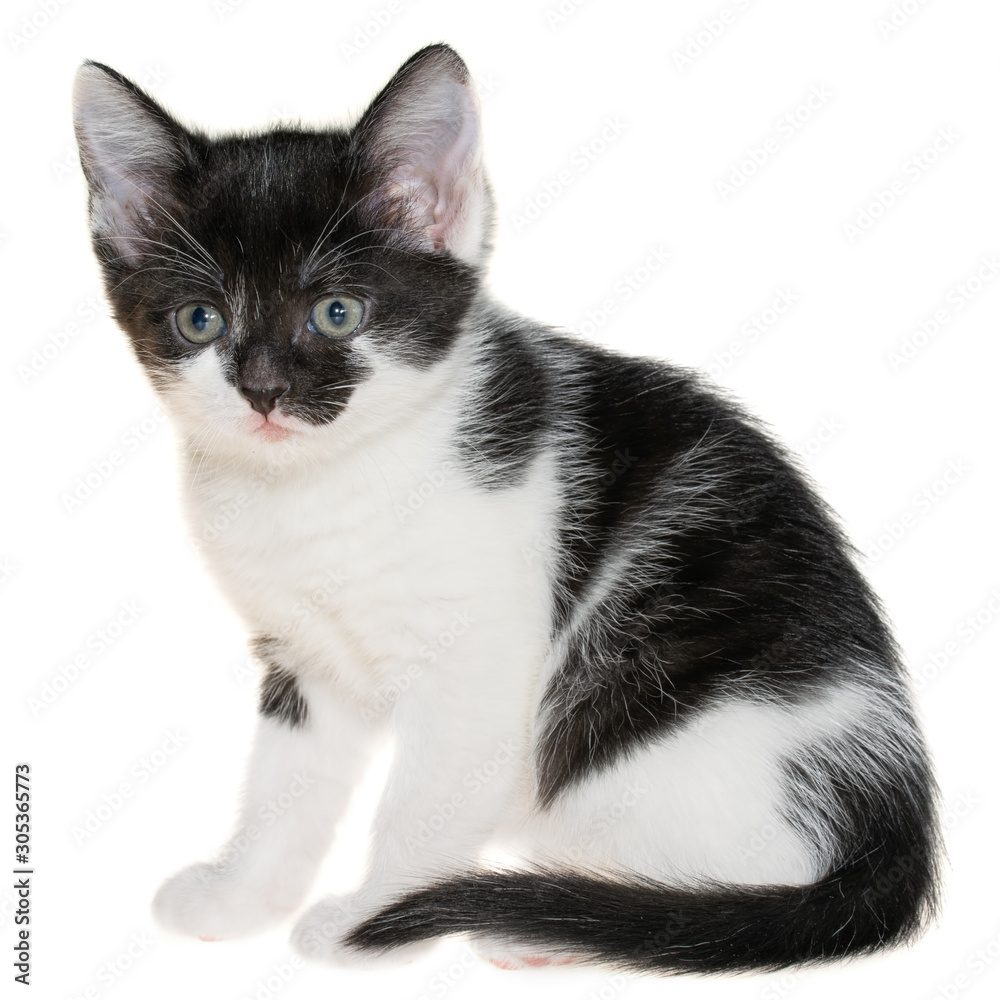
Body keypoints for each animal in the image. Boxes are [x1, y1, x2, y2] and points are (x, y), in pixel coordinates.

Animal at [74, 43, 940, 972]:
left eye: (337, 313)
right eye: (200, 320)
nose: (264, 392)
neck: (325, 487)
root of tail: (897, 818)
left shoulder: (478, 657)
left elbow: (423, 802)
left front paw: (375, 922)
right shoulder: (303, 655)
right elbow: (284, 786)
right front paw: (242, 899)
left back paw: (560, 922)